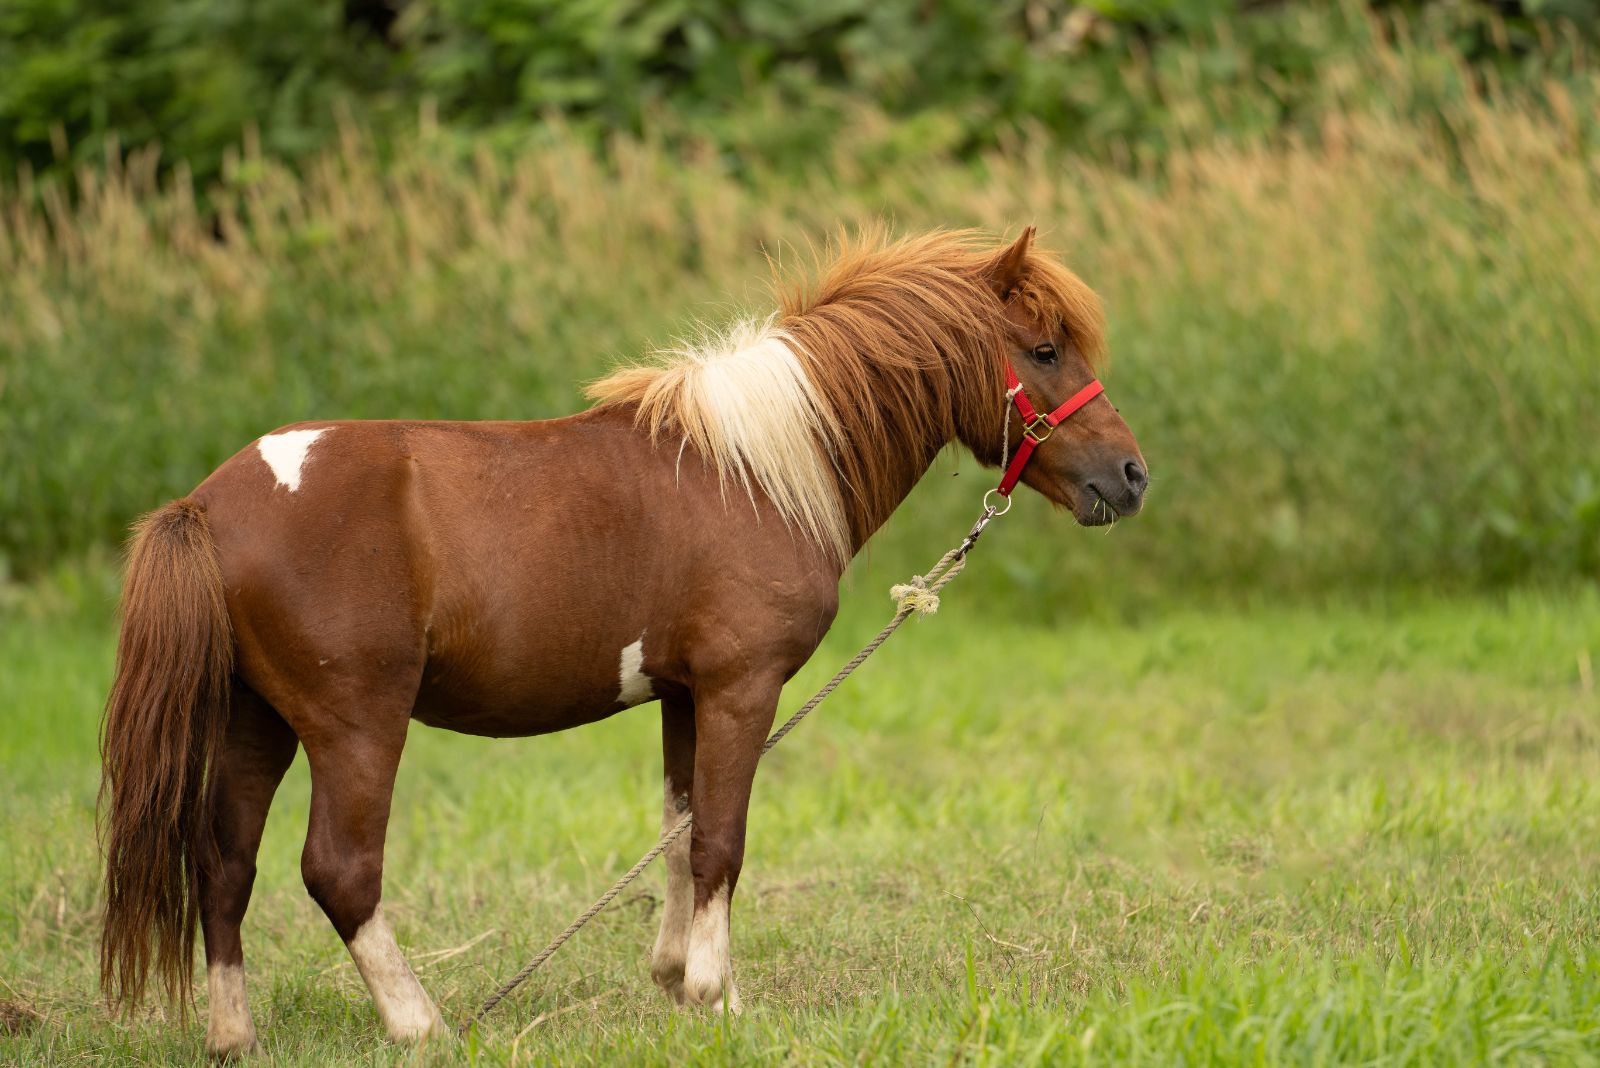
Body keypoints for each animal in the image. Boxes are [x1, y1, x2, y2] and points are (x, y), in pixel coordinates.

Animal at [100, 225, 1145, 1048]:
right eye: (1044, 349)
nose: (1130, 476)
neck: (754, 467)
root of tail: (209, 504)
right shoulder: (740, 687)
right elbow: (721, 839)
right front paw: (717, 997)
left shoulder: (685, 694)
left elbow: (680, 833)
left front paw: (677, 982)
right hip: (355, 726)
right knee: (339, 872)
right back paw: (419, 1023)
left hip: (254, 722)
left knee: (223, 866)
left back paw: (234, 1037)